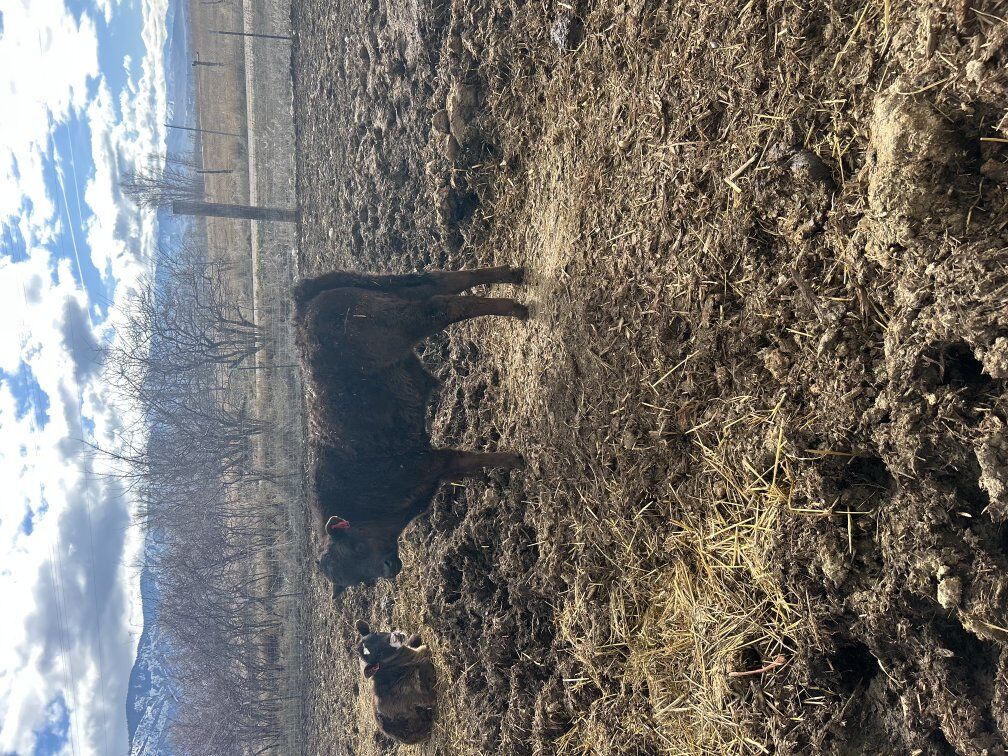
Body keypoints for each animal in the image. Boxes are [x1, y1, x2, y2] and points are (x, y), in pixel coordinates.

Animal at [294, 266, 527, 596]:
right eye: (359, 579)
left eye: (355, 549)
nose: (389, 569)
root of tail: (306, 302)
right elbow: (469, 468)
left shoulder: (427, 462)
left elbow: (467, 458)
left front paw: (515, 460)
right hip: (401, 293)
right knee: (443, 282)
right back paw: (514, 276)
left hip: (404, 321)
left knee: (442, 305)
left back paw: (517, 309)